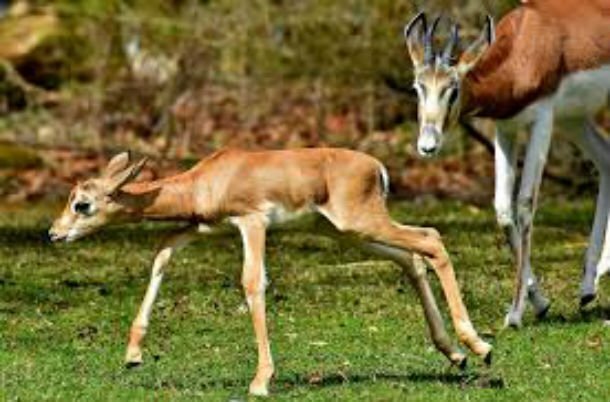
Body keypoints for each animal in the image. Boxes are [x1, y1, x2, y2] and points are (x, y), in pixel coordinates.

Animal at [50, 148, 492, 396]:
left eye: (82, 204)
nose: (53, 233)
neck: (207, 179)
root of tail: (376, 167)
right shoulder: (204, 227)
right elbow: (161, 254)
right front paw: (133, 355)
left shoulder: (252, 221)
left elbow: (252, 283)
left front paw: (260, 381)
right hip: (346, 232)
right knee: (411, 258)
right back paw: (456, 355)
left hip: (361, 223)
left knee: (431, 240)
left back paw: (479, 346)